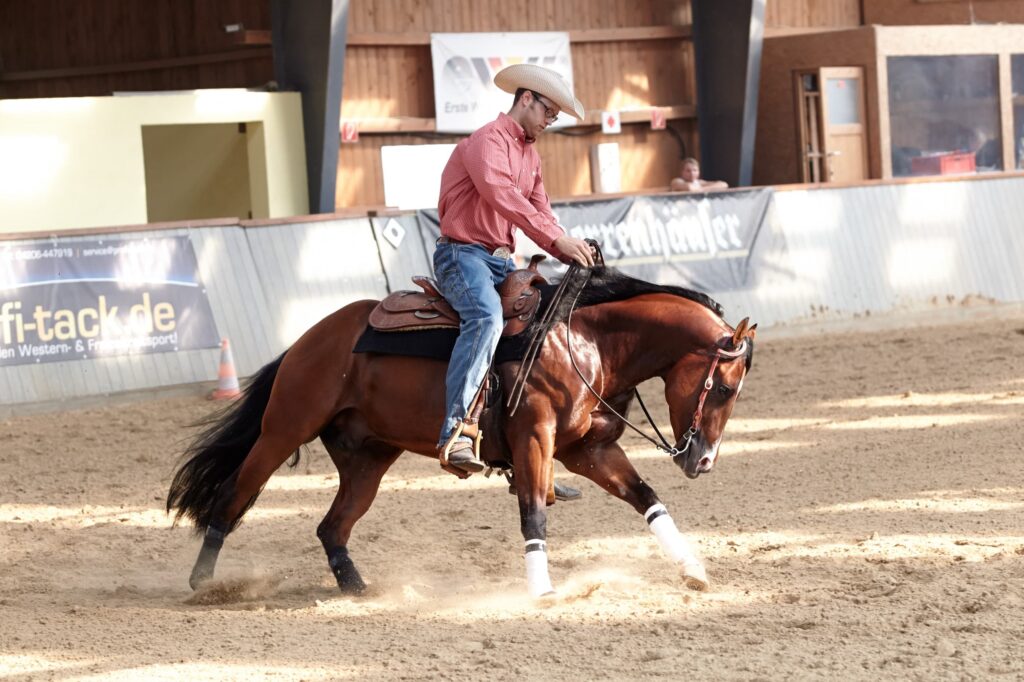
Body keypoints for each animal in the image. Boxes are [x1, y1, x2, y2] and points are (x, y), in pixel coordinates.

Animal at [166, 265, 756, 598]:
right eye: (724, 389)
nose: (703, 460)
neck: (586, 341)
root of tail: (307, 340)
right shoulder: (535, 441)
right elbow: (533, 512)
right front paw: (542, 591)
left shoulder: (589, 451)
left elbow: (648, 500)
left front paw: (695, 570)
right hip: (283, 430)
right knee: (231, 496)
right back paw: (204, 583)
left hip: (368, 459)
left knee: (332, 527)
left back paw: (357, 588)